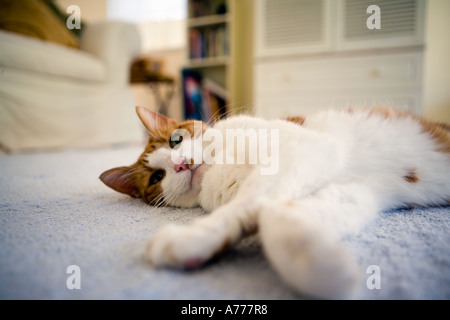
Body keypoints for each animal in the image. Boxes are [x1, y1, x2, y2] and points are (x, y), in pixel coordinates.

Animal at [99, 106, 450, 298]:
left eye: (175, 140)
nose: (182, 163)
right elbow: (273, 212)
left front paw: (192, 235)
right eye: (156, 177)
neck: (219, 167)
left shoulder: (302, 147)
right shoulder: (352, 192)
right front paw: (317, 258)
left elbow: (257, 201)